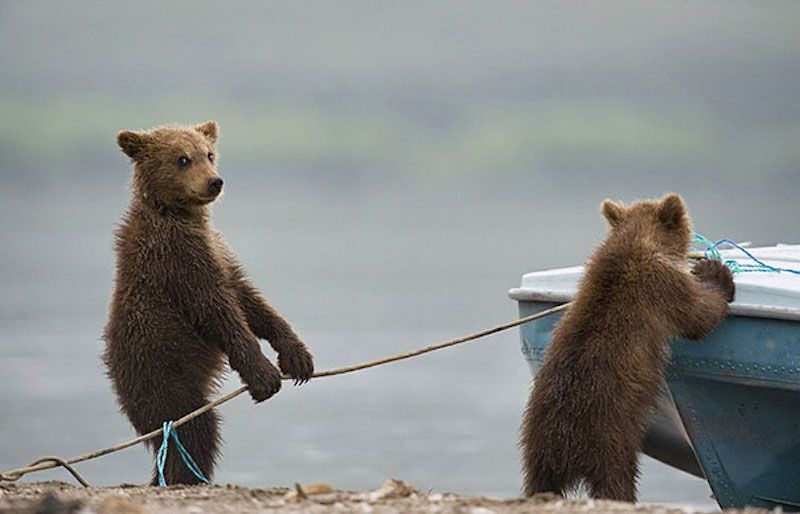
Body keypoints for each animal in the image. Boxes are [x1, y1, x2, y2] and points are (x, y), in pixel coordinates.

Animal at [103, 121, 314, 485]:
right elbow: (218, 310)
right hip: (161, 374)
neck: (178, 212)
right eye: (182, 158)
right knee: (193, 430)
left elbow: (249, 299)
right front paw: (264, 375)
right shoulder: (177, 258)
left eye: (209, 153)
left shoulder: (218, 251)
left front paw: (297, 355)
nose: (215, 181)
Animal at [519, 193, 735, 502]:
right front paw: (717, 274)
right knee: (616, 479)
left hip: (537, 444)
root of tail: (564, 442)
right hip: (611, 435)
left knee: (539, 480)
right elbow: (698, 315)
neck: (635, 243)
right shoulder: (661, 286)